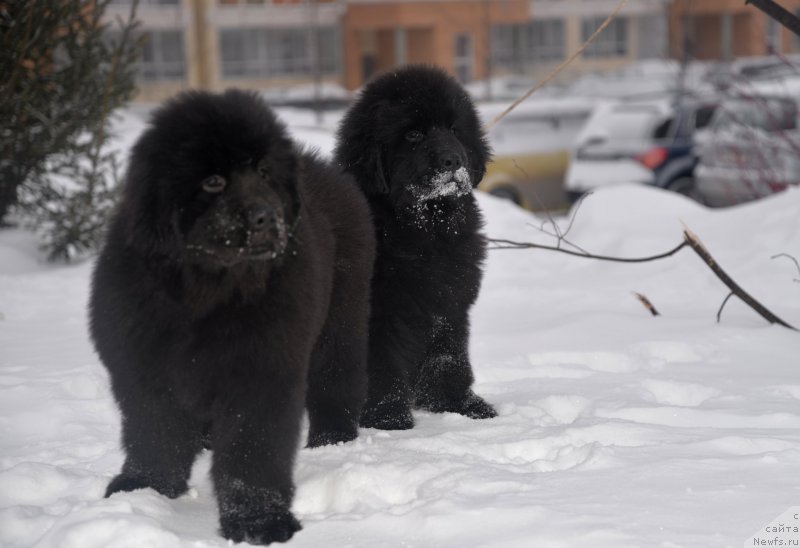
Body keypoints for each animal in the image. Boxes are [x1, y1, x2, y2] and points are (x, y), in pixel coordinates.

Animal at [89, 90, 376, 544]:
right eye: (213, 181)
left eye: (263, 171)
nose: (265, 217)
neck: (208, 290)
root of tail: (321, 165)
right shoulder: (145, 368)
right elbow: (153, 433)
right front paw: (144, 489)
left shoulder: (261, 372)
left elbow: (251, 449)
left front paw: (258, 521)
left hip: (341, 320)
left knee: (338, 379)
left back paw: (333, 440)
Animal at [334, 65, 496, 432]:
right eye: (413, 135)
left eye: (454, 129)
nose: (452, 160)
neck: (424, 230)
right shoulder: (380, 311)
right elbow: (382, 365)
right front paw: (388, 418)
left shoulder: (449, 302)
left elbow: (449, 357)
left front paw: (458, 405)